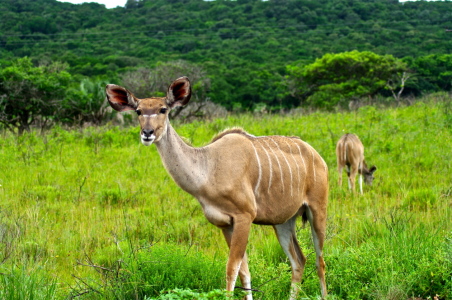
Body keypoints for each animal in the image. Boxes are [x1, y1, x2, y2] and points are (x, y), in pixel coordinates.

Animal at [103, 77, 328, 300]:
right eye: (138, 111)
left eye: (163, 109)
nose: (147, 134)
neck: (209, 168)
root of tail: (318, 157)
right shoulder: (225, 224)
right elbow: (244, 271)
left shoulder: (244, 217)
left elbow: (232, 269)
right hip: (283, 222)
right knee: (299, 260)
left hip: (317, 211)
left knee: (320, 261)